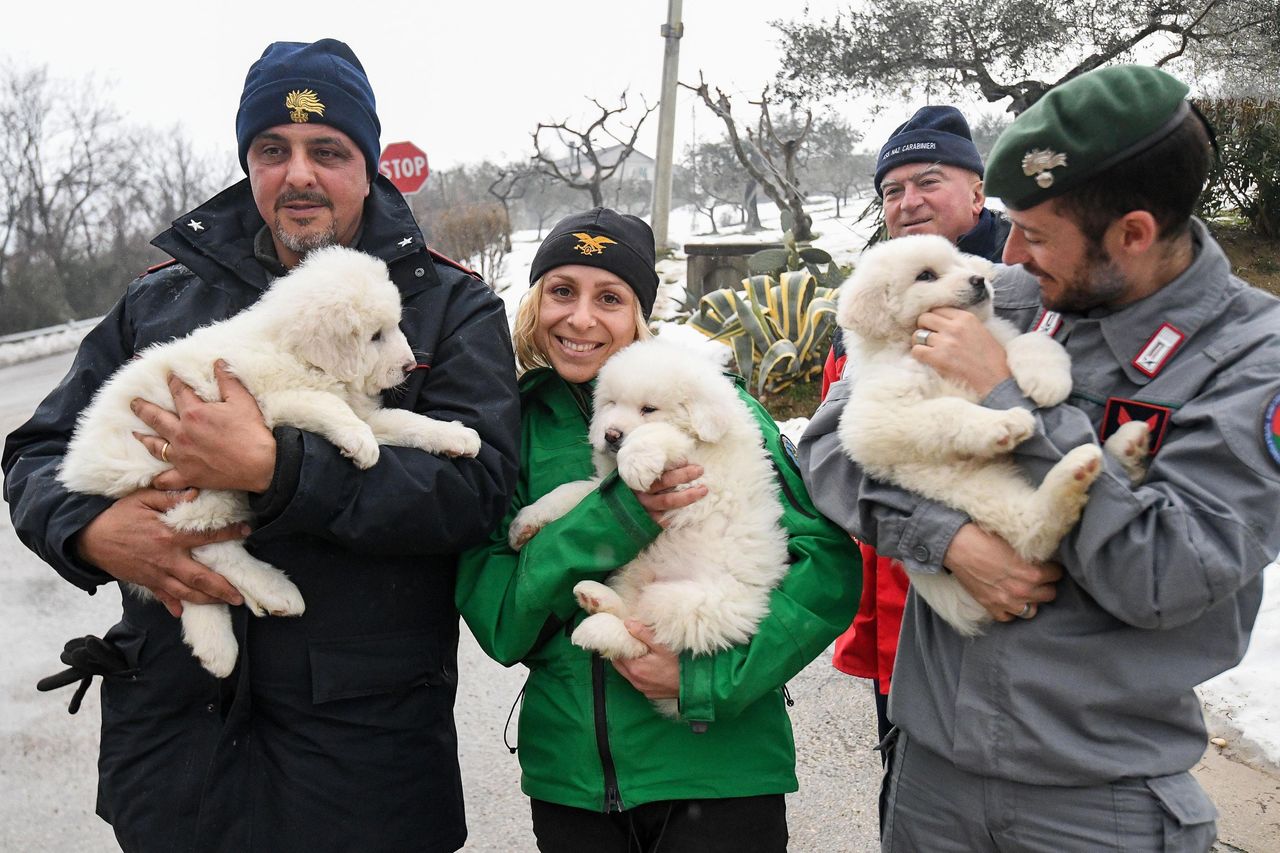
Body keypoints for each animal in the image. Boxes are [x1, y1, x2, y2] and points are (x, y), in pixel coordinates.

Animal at [58, 244, 481, 671]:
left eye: (395, 326)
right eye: (375, 336)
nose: (410, 366)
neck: (295, 353)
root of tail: (80, 470)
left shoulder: (361, 409)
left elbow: (403, 419)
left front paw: (456, 436)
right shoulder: (269, 404)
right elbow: (327, 405)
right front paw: (360, 444)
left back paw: (219, 644)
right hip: (193, 482)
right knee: (204, 546)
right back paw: (275, 592)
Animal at [501, 333, 783, 717]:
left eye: (648, 409)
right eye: (610, 403)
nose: (611, 434)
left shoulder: (700, 466)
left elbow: (658, 435)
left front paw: (635, 460)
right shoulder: (603, 482)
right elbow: (572, 491)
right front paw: (525, 523)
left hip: (693, 604)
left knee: (647, 640)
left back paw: (597, 628)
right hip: (634, 576)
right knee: (632, 621)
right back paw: (595, 600)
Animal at [834, 235, 1146, 635]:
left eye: (958, 262)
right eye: (925, 275)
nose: (978, 279)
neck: (914, 343)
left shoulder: (997, 336)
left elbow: (1032, 342)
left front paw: (1047, 382)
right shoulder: (871, 419)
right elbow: (947, 410)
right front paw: (1001, 424)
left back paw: (1129, 447)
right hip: (973, 487)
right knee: (1032, 531)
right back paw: (1076, 470)